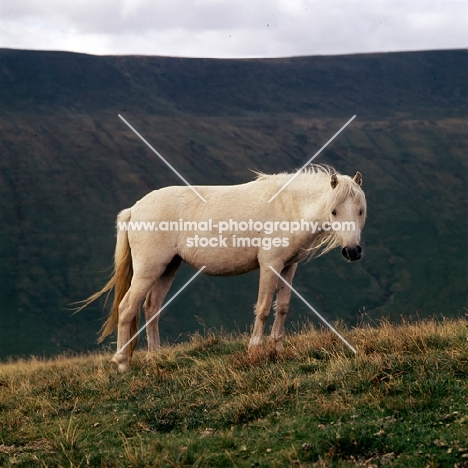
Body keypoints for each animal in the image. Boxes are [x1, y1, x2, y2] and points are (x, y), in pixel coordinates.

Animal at [80, 166, 366, 372]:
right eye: (334, 211)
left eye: (361, 211)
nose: (352, 251)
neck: (288, 205)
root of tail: (134, 209)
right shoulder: (270, 265)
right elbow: (263, 308)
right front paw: (255, 350)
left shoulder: (288, 267)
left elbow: (282, 307)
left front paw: (278, 350)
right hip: (148, 269)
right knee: (128, 307)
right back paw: (122, 363)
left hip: (168, 268)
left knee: (151, 308)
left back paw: (155, 358)